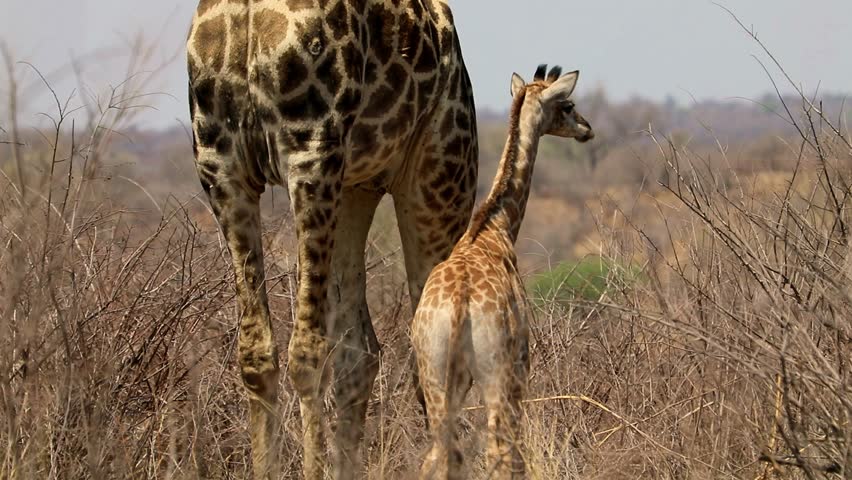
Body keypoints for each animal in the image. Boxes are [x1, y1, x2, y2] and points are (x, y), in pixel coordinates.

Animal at [186, 1, 478, 478]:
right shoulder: (222, 170)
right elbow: (255, 354)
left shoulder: (311, 155)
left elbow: (306, 352)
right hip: (359, 186)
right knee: (361, 351)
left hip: (439, 176)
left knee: (439, 358)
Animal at [411, 65, 594, 479]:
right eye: (568, 104)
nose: (587, 129)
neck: (496, 226)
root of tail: (458, 308)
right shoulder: (521, 363)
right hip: (495, 373)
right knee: (498, 446)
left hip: (434, 373)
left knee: (439, 452)